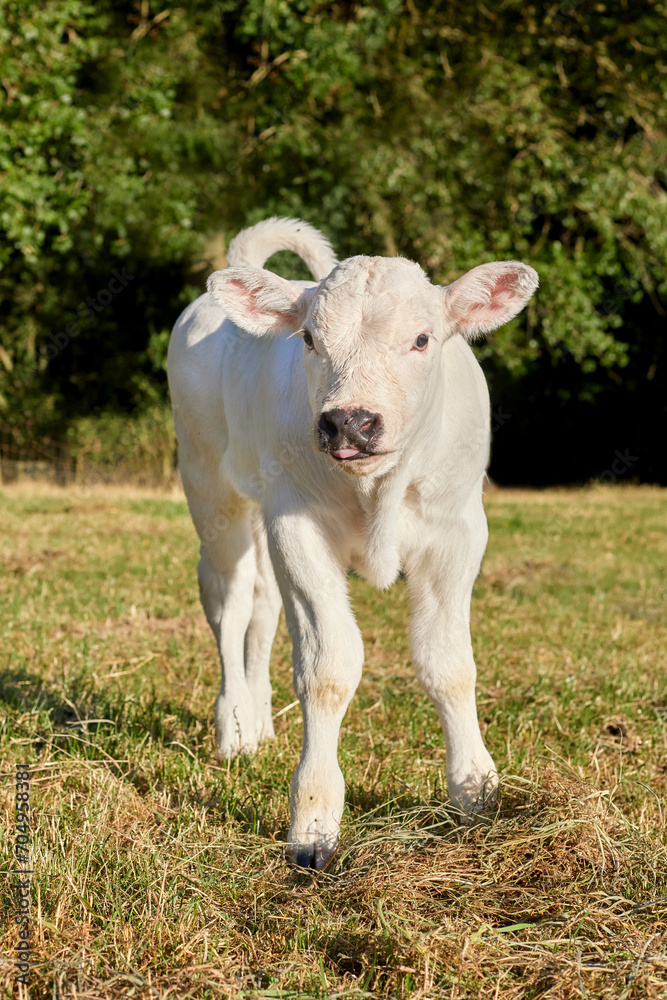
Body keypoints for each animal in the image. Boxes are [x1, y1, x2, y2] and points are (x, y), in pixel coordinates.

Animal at [167, 217, 536, 868]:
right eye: (310, 338)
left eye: (421, 339)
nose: (349, 422)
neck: (377, 491)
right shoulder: (299, 528)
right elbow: (328, 668)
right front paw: (313, 822)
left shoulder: (457, 532)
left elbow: (449, 664)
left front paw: (475, 792)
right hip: (211, 486)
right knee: (228, 602)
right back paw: (234, 727)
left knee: (262, 607)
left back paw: (259, 724)